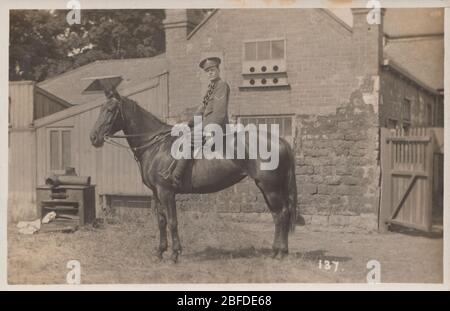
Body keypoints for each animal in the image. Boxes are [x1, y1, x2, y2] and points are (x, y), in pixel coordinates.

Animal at [89, 91, 298, 264]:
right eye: (100, 109)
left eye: (110, 110)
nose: (93, 137)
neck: (156, 145)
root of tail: (281, 141)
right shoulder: (156, 193)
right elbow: (161, 222)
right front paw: (160, 252)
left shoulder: (166, 192)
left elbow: (173, 222)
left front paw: (174, 254)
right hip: (267, 187)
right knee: (278, 214)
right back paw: (277, 252)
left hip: (270, 188)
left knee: (281, 214)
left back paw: (280, 253)